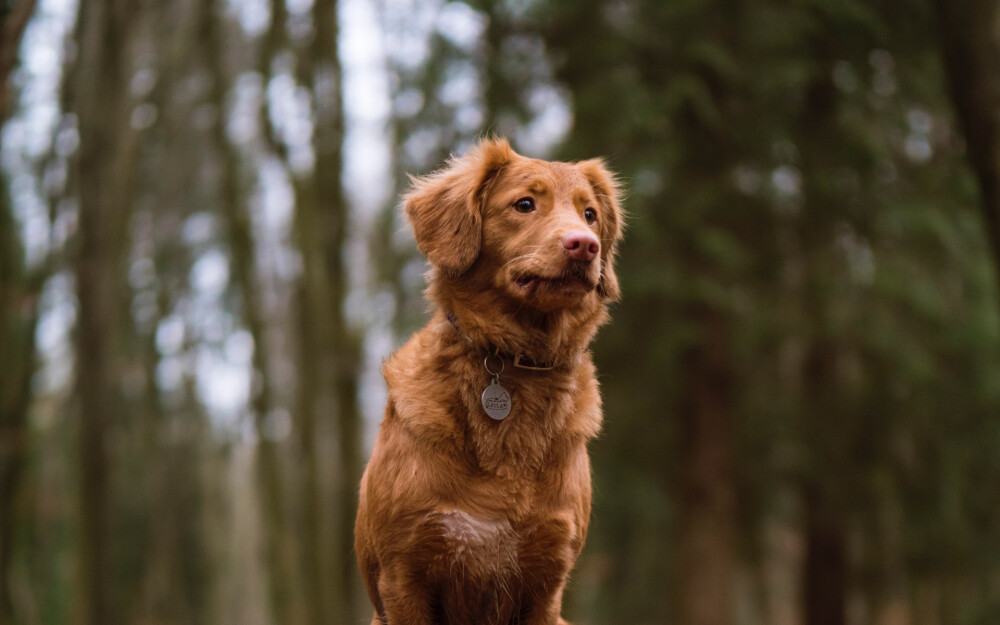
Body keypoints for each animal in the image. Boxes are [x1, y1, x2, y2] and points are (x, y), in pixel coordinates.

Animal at [358, 138, 624, 624]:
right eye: (524, 204)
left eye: (590, 213)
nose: (585, 246)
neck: (516, 362)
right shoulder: (403, 574)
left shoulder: (546, 582)